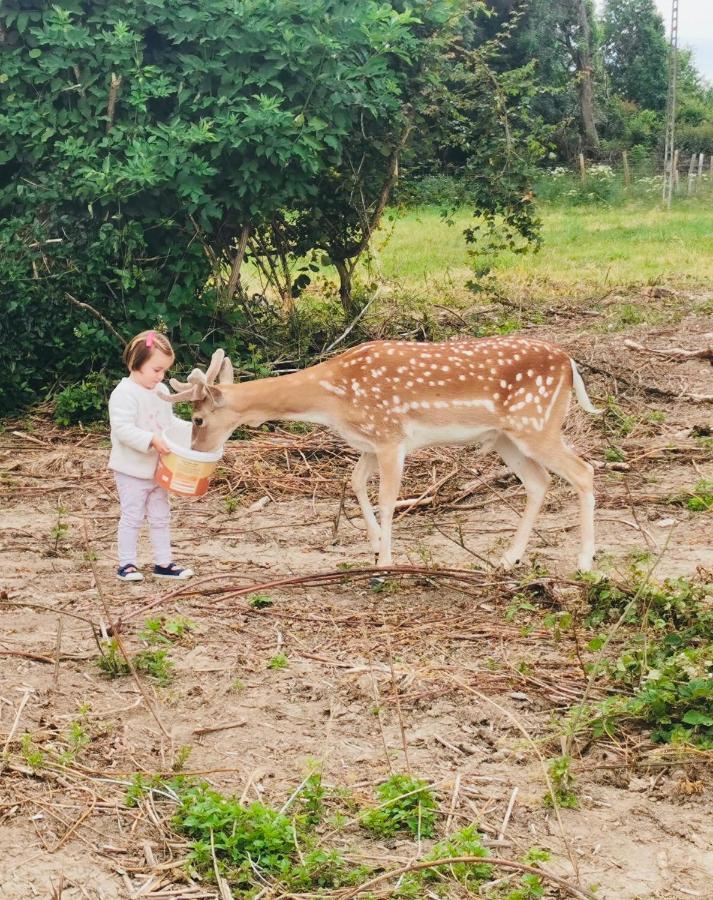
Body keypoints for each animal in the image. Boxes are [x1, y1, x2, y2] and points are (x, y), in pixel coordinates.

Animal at [161, 338, 600, 568]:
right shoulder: (369, 441)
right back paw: (510, 558)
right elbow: (356, 482)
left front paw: (385, 559)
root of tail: (570, 363)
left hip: (536, 423)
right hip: (508, 437)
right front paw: (373, 544)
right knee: (539, 482)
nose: (198, 451)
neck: (332, 397)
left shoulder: (390, 434)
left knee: (584, 471)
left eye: (197, 418)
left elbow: (388, 498)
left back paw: (584, 561)